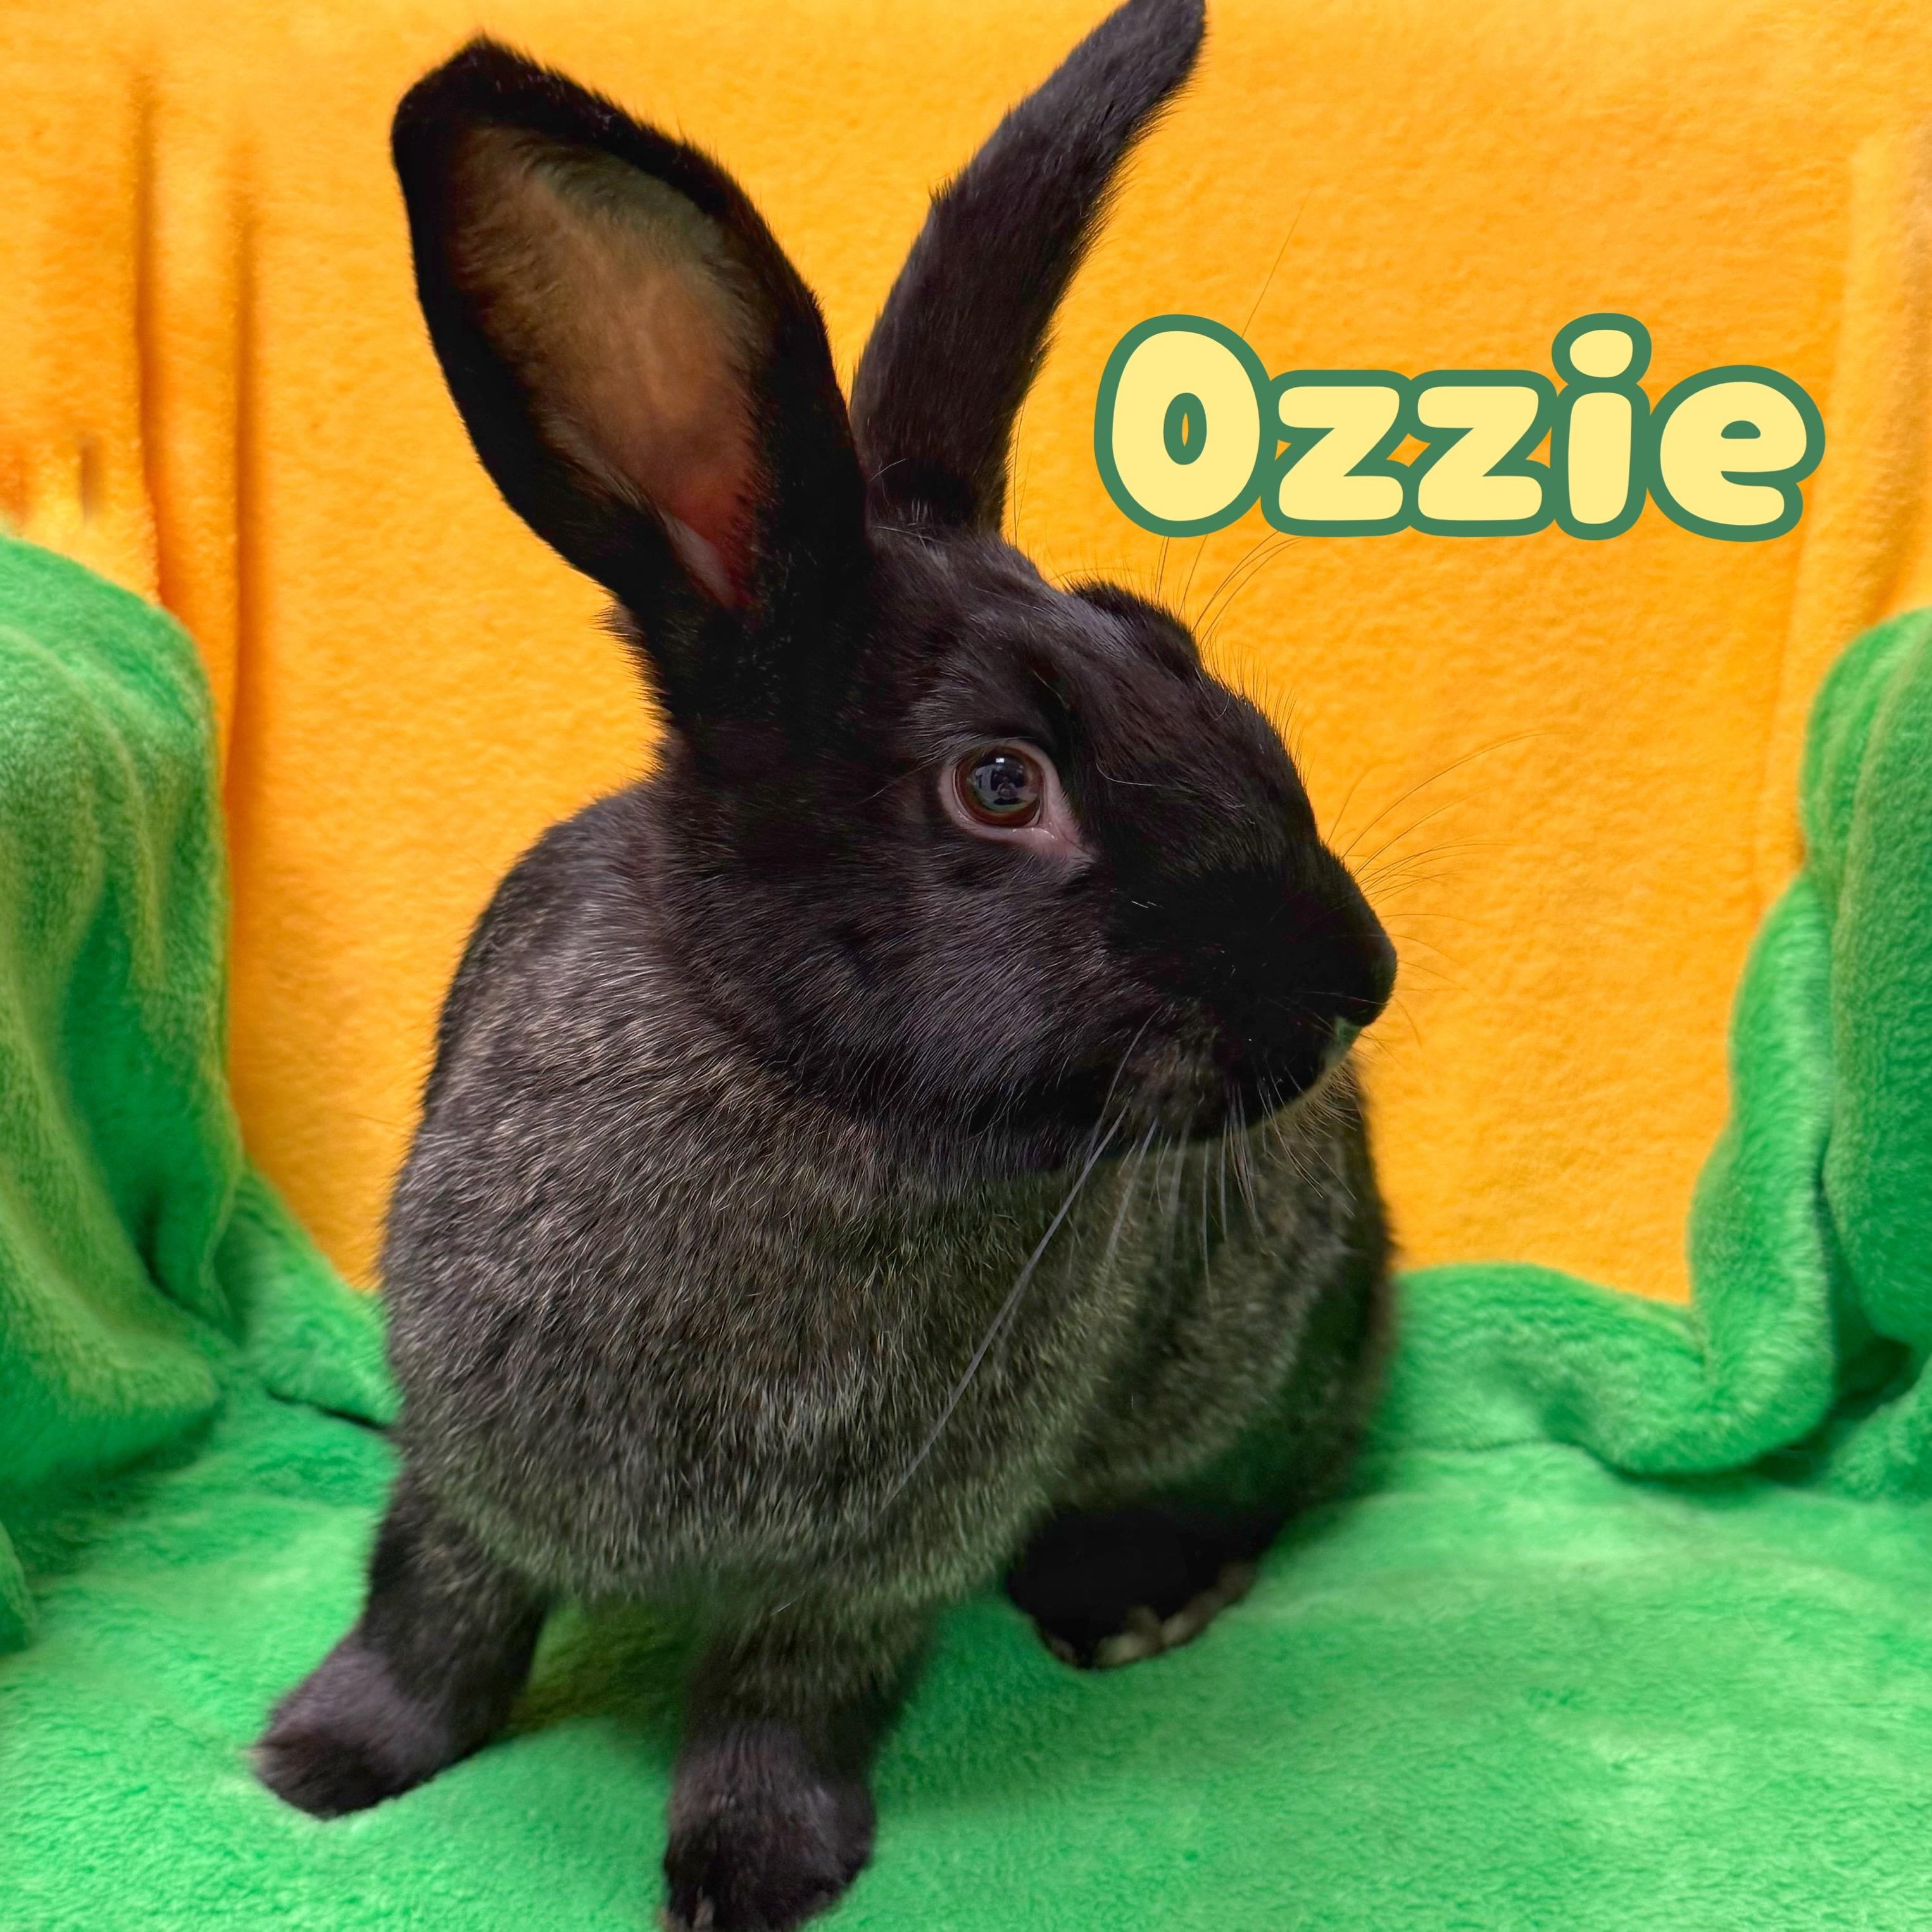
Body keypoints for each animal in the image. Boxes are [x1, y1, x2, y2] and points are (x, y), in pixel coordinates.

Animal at [253, 1, 1397, 1926]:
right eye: (1000, 782)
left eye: (1172, 654)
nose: (1356, 982)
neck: (794, 1085)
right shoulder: (464, 1470)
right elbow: (430, 1611)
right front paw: (320, 1765)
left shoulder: (875, 1567)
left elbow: (782, 1701)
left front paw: (748, 1874)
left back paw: (1138, 1599)